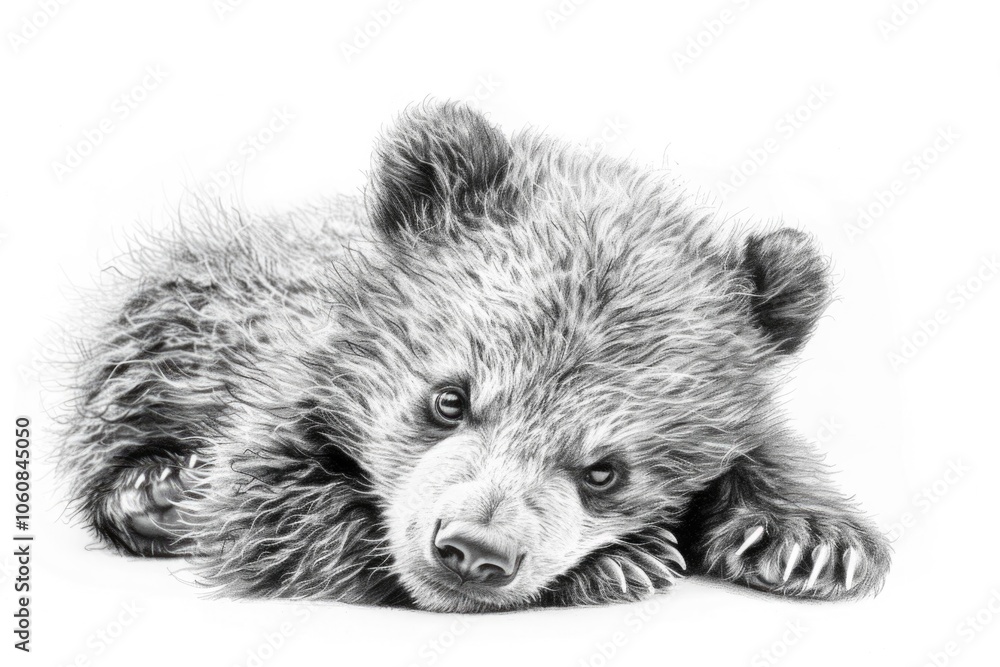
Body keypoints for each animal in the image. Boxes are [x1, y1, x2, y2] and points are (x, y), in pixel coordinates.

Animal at [57, 101, 890, 612]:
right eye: (448, 398)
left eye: (605, 469)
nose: (473, 550)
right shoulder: (283, 384)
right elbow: (272, 507)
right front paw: (621, 560)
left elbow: (764, 445)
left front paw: (810, 542)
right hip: (167, 338)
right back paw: (156, 490)